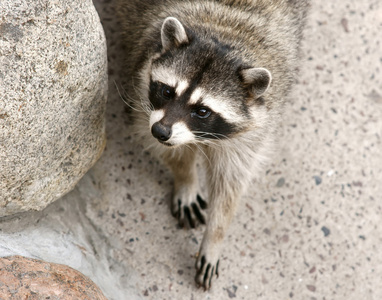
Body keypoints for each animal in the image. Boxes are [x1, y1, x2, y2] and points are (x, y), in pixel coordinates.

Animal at [115, 0, 308, 290]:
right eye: (168, 91)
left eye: (202, 111)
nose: (161, 131)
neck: (224, 30)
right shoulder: (141, 89)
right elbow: (169, 151)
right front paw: (185, 177)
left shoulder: (253, 131)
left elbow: (230, 182)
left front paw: (216, 234)